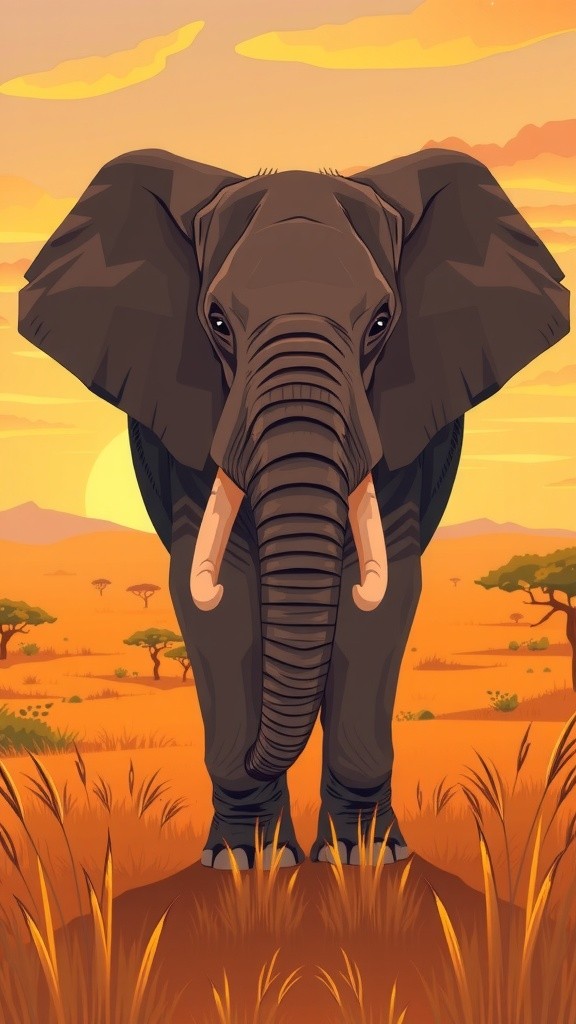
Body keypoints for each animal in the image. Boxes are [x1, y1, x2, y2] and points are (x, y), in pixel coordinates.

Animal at [18, 148, 569, 870]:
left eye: (382, 321)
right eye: (217, 321)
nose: (255, 760)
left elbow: (385, 592)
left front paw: (364, 857)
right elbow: (219, 595)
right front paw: (247, 862)